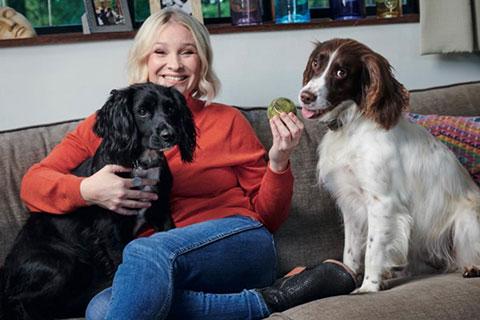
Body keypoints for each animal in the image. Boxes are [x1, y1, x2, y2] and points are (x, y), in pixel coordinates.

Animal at [0, 83, 197, 320]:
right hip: (64, 264)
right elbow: (121, 262)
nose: (170, 135)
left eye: (170, 109)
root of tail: (5, 272)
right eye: (142, 111)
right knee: (17, 301)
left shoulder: (160, 212)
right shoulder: (108, 228)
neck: (140, 162)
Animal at [298, 38, 480, 292]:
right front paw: (348, 277)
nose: (306, 96)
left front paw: (368, 288)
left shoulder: (382, 202)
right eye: (316, 63)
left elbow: (373, 251)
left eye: (341, 72)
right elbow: (350, 253)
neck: (352, 127)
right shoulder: (351, 205)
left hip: (466, 219)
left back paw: (472, 267)